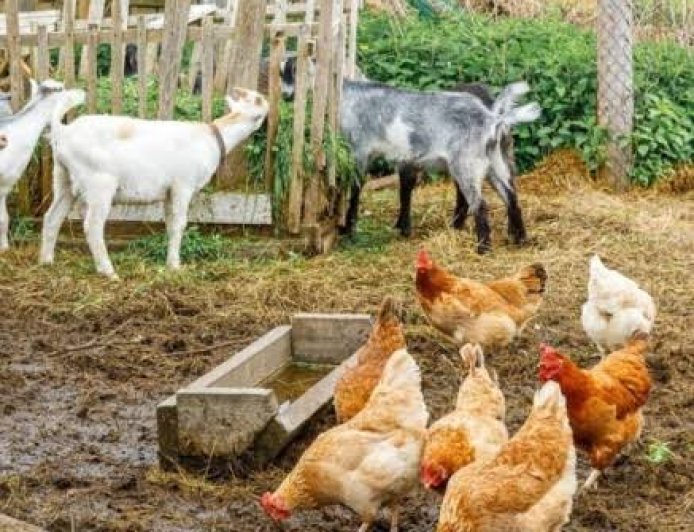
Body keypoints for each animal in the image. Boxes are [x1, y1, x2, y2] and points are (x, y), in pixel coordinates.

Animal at [40, 88, 269, 278]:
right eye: (258, 99)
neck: (212, 138)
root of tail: (63, 132)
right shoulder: (183, 185)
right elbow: (180, 224)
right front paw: (175, 266)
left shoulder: (169, 191)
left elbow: (170, 224)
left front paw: (169, 262)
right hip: (99, 184)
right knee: (92, 226)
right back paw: (108, 271)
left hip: (62, 179)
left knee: (52, 217)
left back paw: (46, 261)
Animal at [339, 80, 540, 253]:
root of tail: (493, 120)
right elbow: (403, 191)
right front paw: (402, 229)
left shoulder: (359, 150)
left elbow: (356, 189)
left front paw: (348, 230)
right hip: (495, 163)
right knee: (510, 196)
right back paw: (520, 240)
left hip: (467, 165)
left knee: (480, 203)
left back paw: (483, 249)